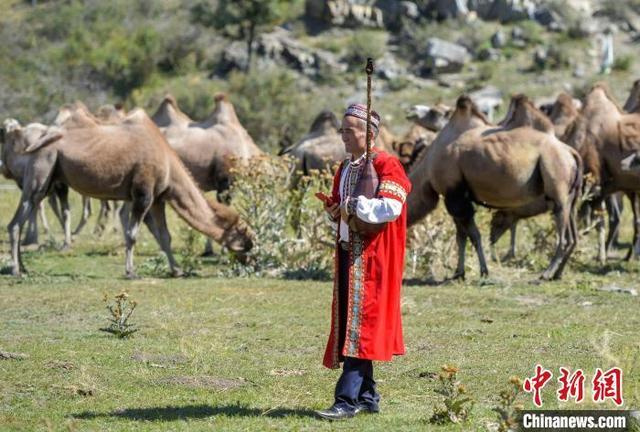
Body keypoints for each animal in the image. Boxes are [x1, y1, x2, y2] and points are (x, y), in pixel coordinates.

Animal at [5, 109, 255, 278]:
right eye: (245, 236)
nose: (251, 261)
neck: (169, 163)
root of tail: (41, 138)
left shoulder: (158, 199)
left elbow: (165, 236)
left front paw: (177, 270)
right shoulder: (143, 194)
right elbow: (132, 234)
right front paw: (131, 272)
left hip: (48, 177)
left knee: (20, 218)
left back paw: (24, 267)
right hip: (43, 168)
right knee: (17, 221)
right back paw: (17, 270)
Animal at [408, 95, 584, 280]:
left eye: (434, 112)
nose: (411, 111)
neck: (428, 168)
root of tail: (571, 152)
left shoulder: (455, 195)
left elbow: (473, 235)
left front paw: (483, 271)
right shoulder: (454, 197)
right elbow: (461, 236)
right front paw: (459, 273)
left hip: (557, 182)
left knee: (563, 235)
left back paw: (546, 273)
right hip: (572, 197)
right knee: (573, 236)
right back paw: (558, 273)